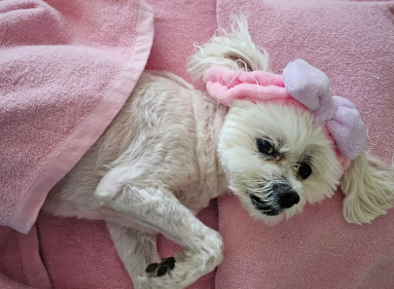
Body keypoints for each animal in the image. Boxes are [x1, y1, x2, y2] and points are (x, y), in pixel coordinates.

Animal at [43, 16, 394, 288]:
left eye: (306, 170)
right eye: (265, 146)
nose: (288, 195)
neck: (202, 134)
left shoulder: (126, 221)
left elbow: (143, 274)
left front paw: (165, 274)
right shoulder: (131, 181)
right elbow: (214, 243)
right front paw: (181, 269)